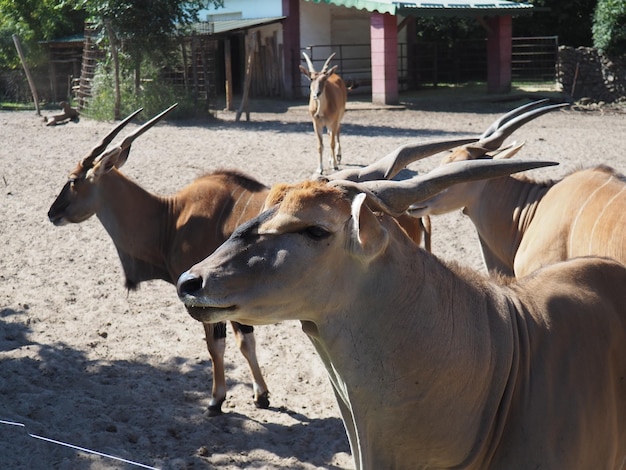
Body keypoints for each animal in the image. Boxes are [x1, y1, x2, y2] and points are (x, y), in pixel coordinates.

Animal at [47, 105, 272, 414]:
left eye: (72, 180)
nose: (52, 213)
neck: (172, 216)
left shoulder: (204, 300)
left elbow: (216, 346)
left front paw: (216, 399)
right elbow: (245, 341)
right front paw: (261, 395)